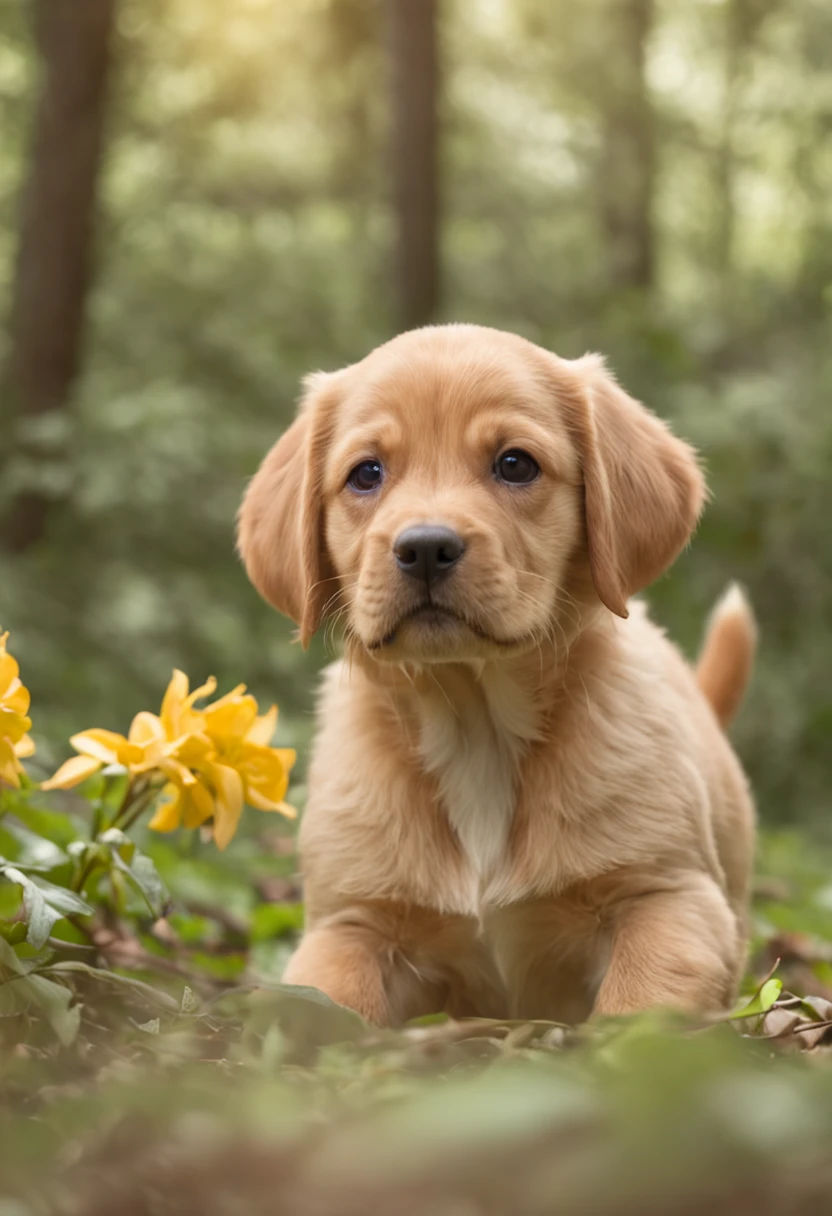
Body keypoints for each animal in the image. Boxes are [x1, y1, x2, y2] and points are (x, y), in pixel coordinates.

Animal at [237, 325, 759, 1026]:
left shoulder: (670, 899)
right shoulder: (350, 924)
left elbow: (637, 1010)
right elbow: (322, 1007)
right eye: (366, 474)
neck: (475, 721)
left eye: (515, 464)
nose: (425, 548)